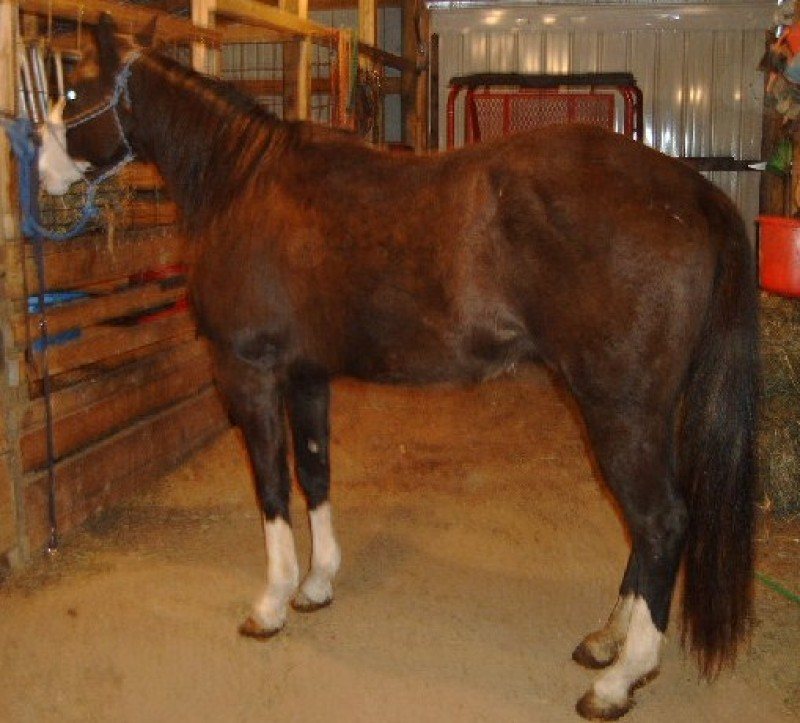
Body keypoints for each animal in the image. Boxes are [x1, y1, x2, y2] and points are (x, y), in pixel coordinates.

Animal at [42, 15, 758, 720]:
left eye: (72, 91)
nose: (44, 174)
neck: (242, 182)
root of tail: (693, 191)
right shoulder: (307, 374)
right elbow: (315, 472)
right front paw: (317, 584)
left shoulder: (250, 372)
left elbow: (272, 485)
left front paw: (270, 605)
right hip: (646, 413)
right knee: (648, 524)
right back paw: (607, 639)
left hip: (618, 410)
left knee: (662, 522)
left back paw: (620, 679)